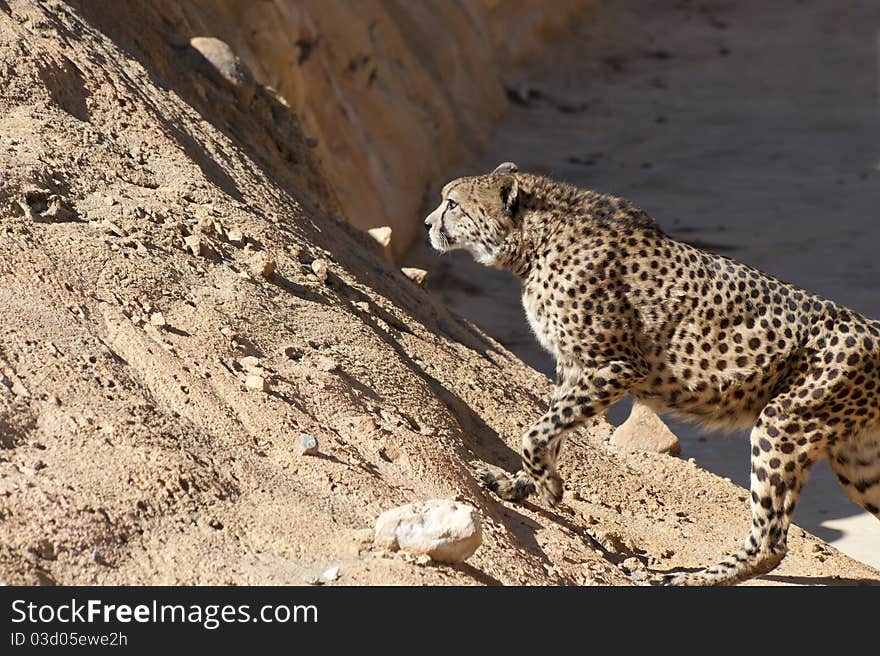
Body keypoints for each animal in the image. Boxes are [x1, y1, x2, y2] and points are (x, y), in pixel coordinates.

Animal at [424, 163, 880, 584]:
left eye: (452, 203)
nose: (428, 224)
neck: (539, 241)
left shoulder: (617, 366)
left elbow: (534, 432)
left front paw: (549, 489)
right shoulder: (572, 368)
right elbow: (548, 433)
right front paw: (523, 485)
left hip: (782, 424)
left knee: (771, 540)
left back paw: (692, 577)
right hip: (857, 461)